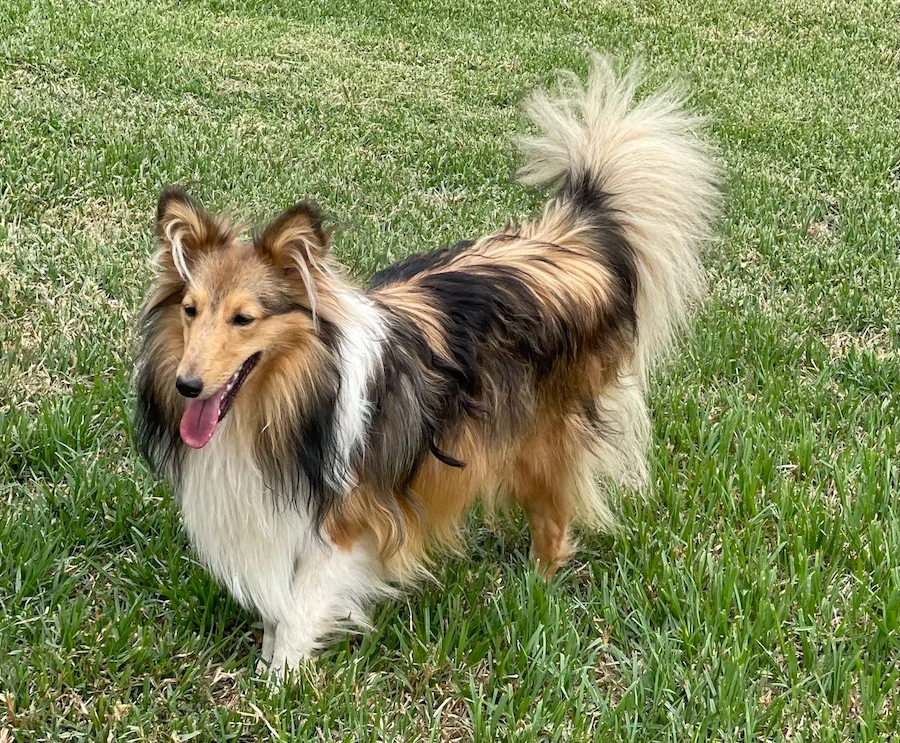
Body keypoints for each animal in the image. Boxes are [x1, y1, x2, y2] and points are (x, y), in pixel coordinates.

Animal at [134, 56, 720, 676]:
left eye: (244, 319)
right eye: (191, 310)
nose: (187, 385)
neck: (291, 395)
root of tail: (573, 236)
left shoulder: (341, 524)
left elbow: (299, 609)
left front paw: (279, 682)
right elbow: (280, 608)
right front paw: (269, 663)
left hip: (539, 441)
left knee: (554, 520)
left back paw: (534, 590)